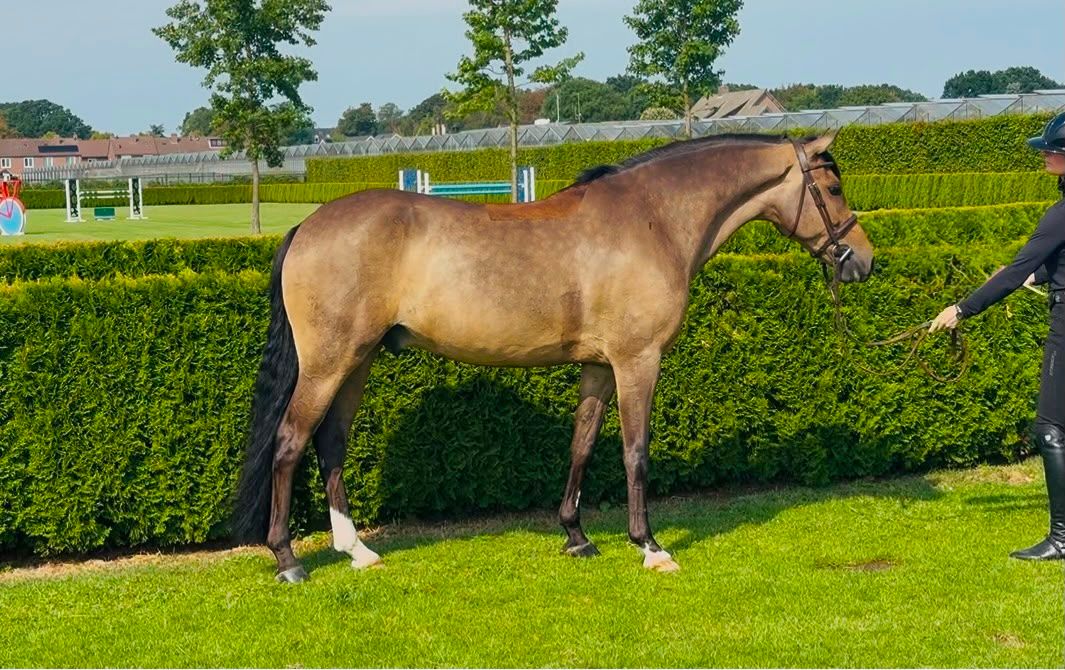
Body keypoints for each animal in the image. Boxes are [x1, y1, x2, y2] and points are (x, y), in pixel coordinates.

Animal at [233, 132, 874, 583]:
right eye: (833, 189)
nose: (862, 261)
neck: (654, 218)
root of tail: (307, 226)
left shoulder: (598, 366)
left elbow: (582, 445)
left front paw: (576, 535)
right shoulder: (638, 362)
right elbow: (635, 453)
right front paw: (650, 547)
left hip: (357, 361)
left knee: (331, 444)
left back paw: (358, 551)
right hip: (329, 362)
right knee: (290, 442)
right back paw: (288, 559)